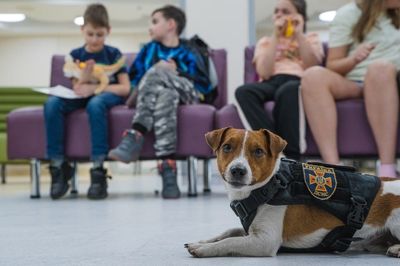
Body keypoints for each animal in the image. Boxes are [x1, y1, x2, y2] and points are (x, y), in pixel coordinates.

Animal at [184, 127, 400, 258]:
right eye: (227, 147)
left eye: (258, 151)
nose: (238, 170)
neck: (266, 189)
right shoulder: (251, 230)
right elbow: (229, 232)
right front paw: (203, 241)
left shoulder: (265, 240)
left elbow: (230, 241)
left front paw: (204, 248)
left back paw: (396, 248)